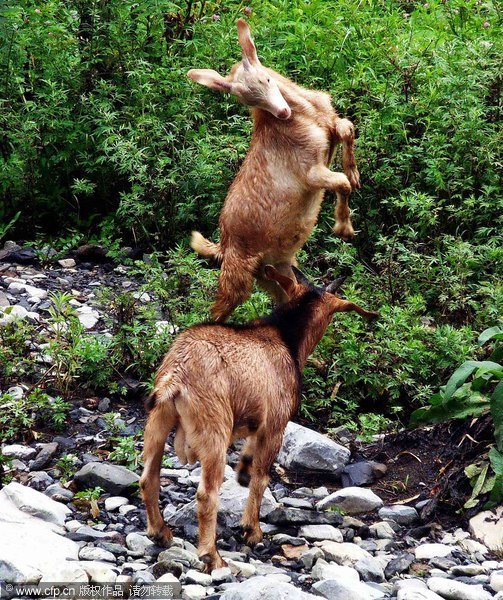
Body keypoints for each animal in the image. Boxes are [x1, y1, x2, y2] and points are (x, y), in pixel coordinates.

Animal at [140, 268, 376, 572]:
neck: (285, 338)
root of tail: (176, 374)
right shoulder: (275, 424)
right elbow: (261, 477)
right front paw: (252, 531)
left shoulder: (257, 420)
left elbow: (250, 460)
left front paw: (242, 471)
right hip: (214, 426)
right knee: (207, 493)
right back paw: (213, 556)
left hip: (157, 420)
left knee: (148, 477)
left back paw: (160, 533)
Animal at [190, 19, 362, 324]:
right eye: (246, 100)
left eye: (267, 79)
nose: (282, 112)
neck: (305, 116)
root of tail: (222, 246)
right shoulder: (309, 171)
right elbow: (341, 183)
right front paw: (344, 228)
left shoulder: (328, 133)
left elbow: (346, 128)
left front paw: (355, 172)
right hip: (237, 274)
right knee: (219, 308)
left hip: (275, 273)